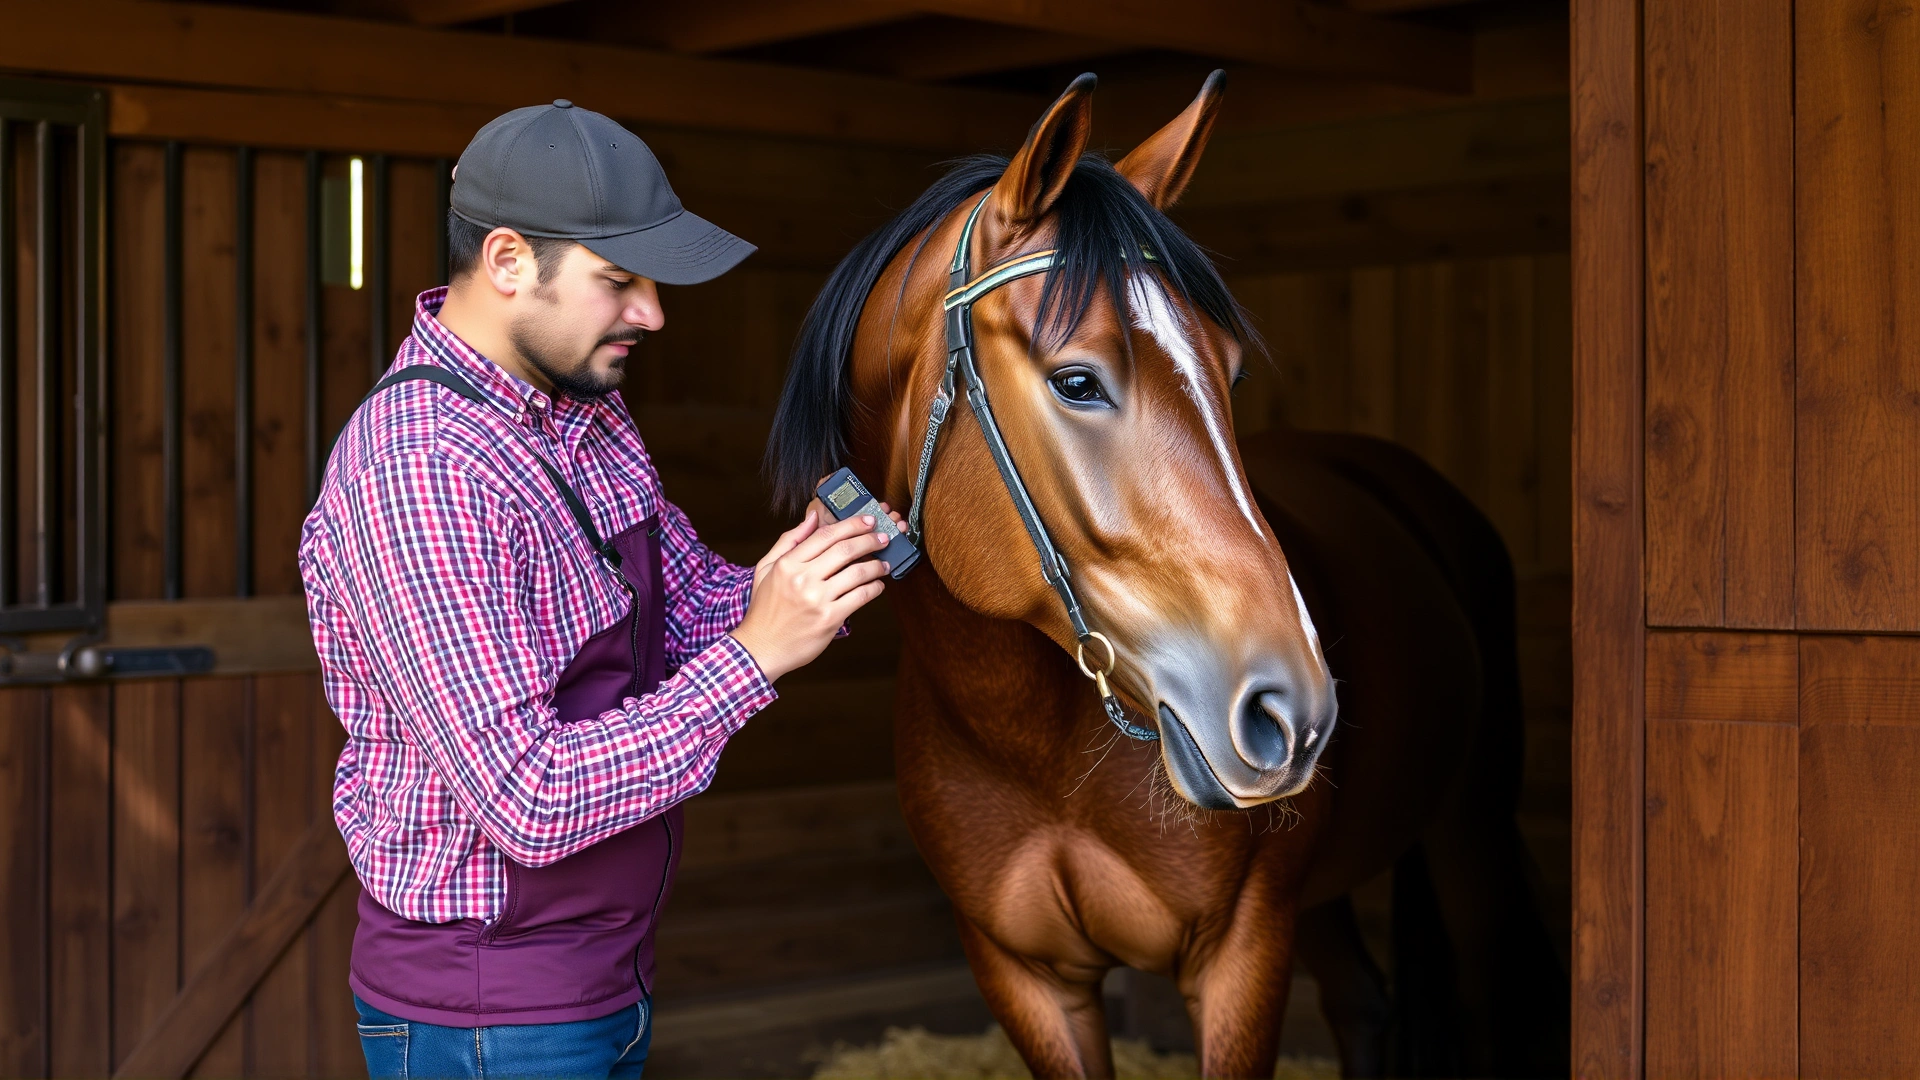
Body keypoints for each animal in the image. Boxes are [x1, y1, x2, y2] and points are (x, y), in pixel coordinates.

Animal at [765, 73, 1566, 1078]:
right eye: (1076, 381)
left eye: (1229, 371)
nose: (1294, 711)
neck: (1034, 748)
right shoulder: (1027, 978)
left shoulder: (1239, 953)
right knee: (1363, 1002)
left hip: (1470, 833)